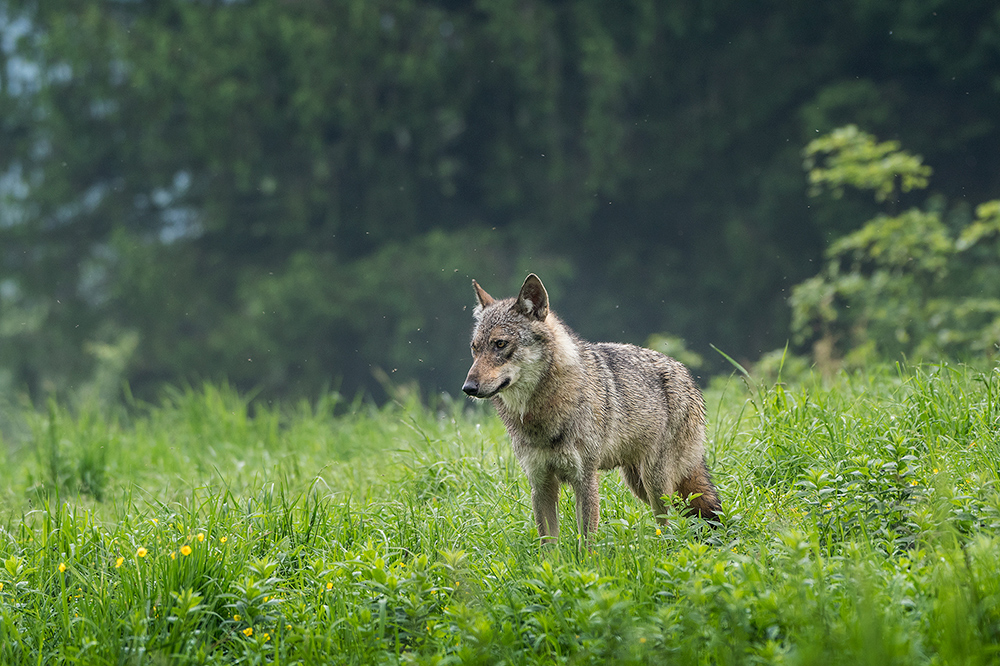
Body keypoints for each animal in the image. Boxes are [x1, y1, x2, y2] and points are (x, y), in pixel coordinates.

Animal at [460, 272, 720, 544]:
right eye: (475, 348)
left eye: (500, 344)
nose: (468, 387)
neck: (543, 412)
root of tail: (685, 372)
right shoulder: (541, 484)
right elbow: (549, 545)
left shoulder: (585, 479)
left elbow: (586, 542)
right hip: (639, 483)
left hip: (656, 484)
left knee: (668, 523)